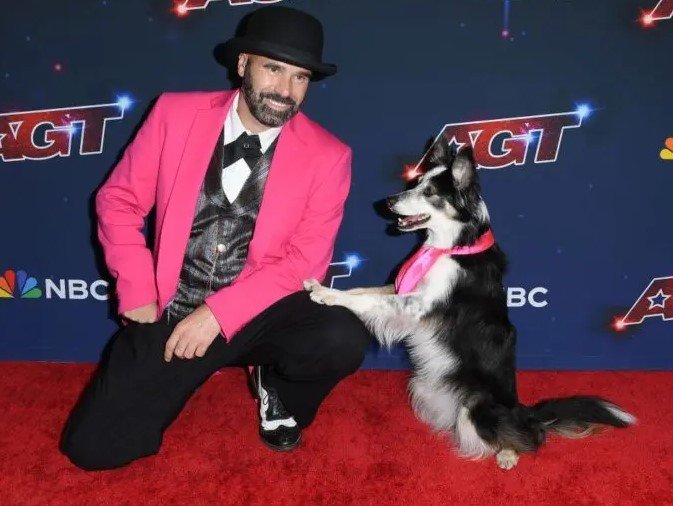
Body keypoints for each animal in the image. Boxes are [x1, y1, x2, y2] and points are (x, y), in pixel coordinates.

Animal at [303, 136, 635, 470]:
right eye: (415, 182)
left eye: (429, 192)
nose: (388, 201)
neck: (452, 245)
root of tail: (522, 411)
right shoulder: (401, 288)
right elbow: (363, 290)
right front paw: (322, 286)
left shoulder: (417, 306)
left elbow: (369, 299)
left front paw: (327, 295)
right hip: (424, 385)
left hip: (475, 408)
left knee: (529, 437)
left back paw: (508, 453)